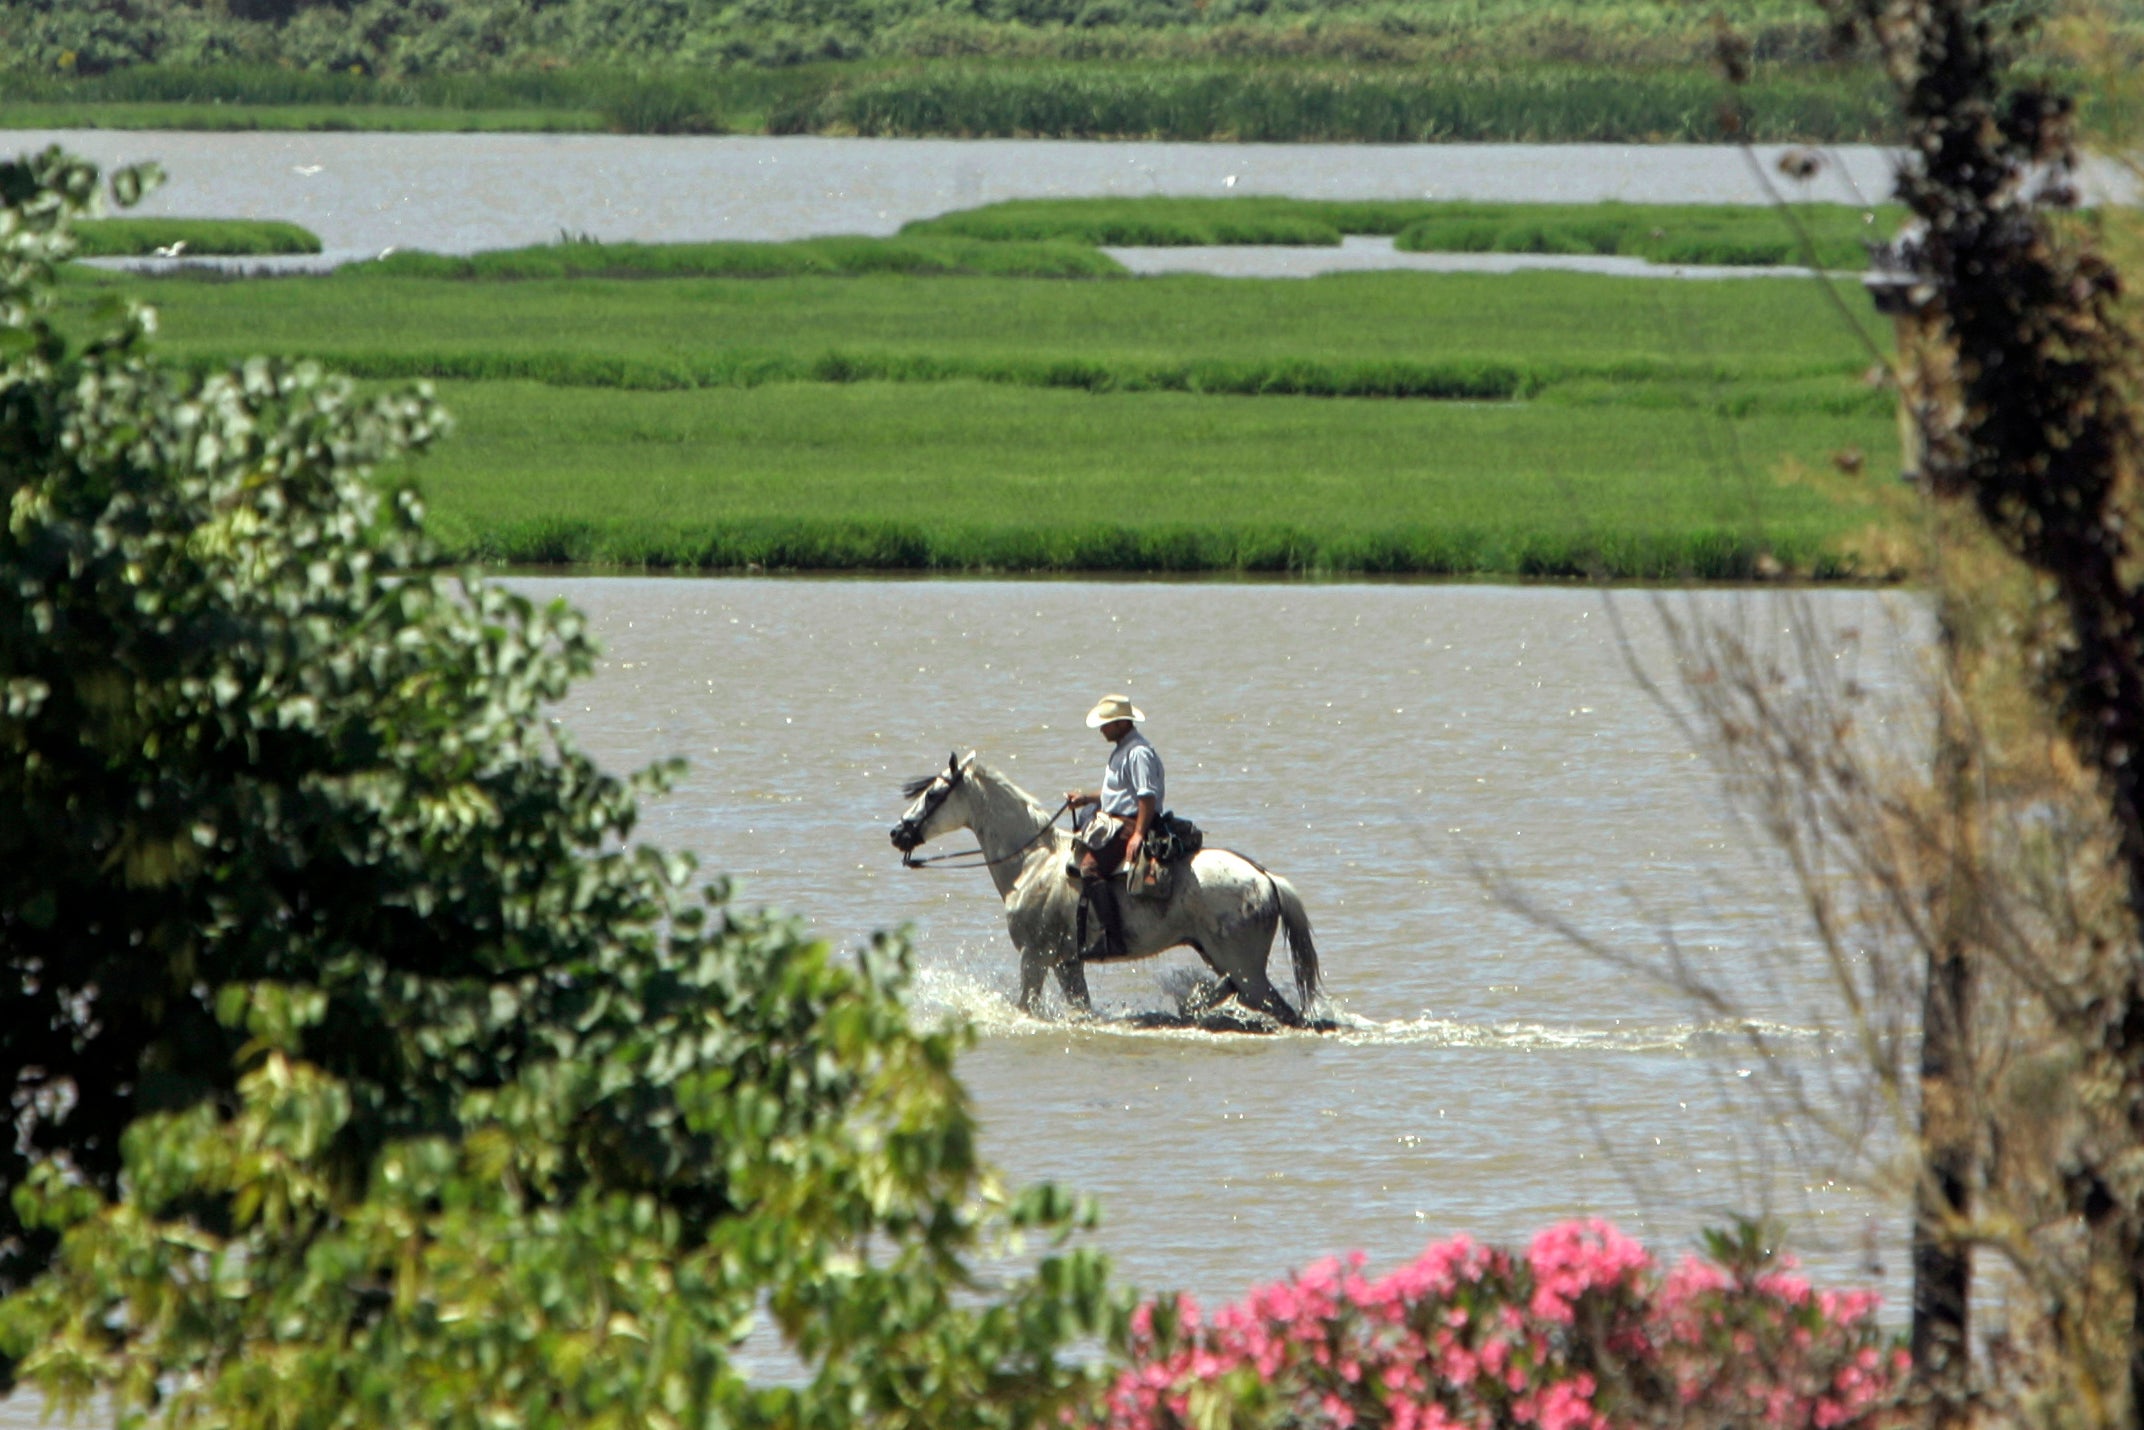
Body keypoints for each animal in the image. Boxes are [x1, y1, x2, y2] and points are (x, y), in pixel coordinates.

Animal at [887, 750, 1320, 1029]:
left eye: (933, 794)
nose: (897, 832)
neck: (1032, 862)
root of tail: (1265, 877)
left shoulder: (1035, 955)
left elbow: (1027, 1005)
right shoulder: (1066, 962)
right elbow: (1080, 1005)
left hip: (1244, 966)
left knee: (1278, 1008)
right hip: (1220, 957)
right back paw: (1189, 1006)